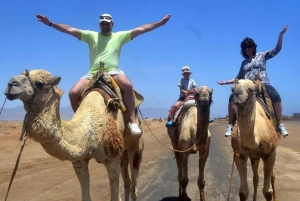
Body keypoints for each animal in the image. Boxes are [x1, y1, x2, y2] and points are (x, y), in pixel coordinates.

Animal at [3, 69, 144, 201]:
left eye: (40, 83)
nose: (11, 83)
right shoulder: (79, 161)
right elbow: (86, 196)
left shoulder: (112, 159)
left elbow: (115, 197)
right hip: (123, 151)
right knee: (127, 181)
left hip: (136, 146)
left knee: (134, 184)